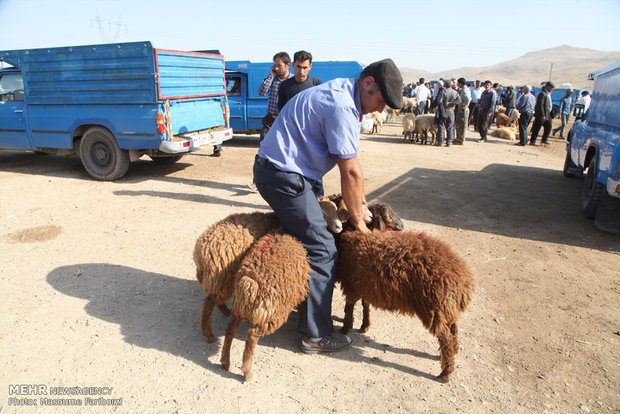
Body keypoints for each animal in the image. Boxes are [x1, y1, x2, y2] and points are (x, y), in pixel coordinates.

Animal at [222, 233, 310, 382]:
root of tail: (250, 283)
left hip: (239, 309)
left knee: (230, 330)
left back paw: (225, 362)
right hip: (272, 314)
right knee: (252, 335)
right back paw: (247, 373)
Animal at [334, 230, 474, 382]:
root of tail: (464, 281)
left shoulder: (351, 286)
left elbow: (349, 308)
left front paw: (345, 328)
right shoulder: (364, 286)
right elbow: (365, 305)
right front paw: (364, 325)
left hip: (433, 307)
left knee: (446, 337)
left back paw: (445, 372)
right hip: (446, 309)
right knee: (453, 330)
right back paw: (451, 353)